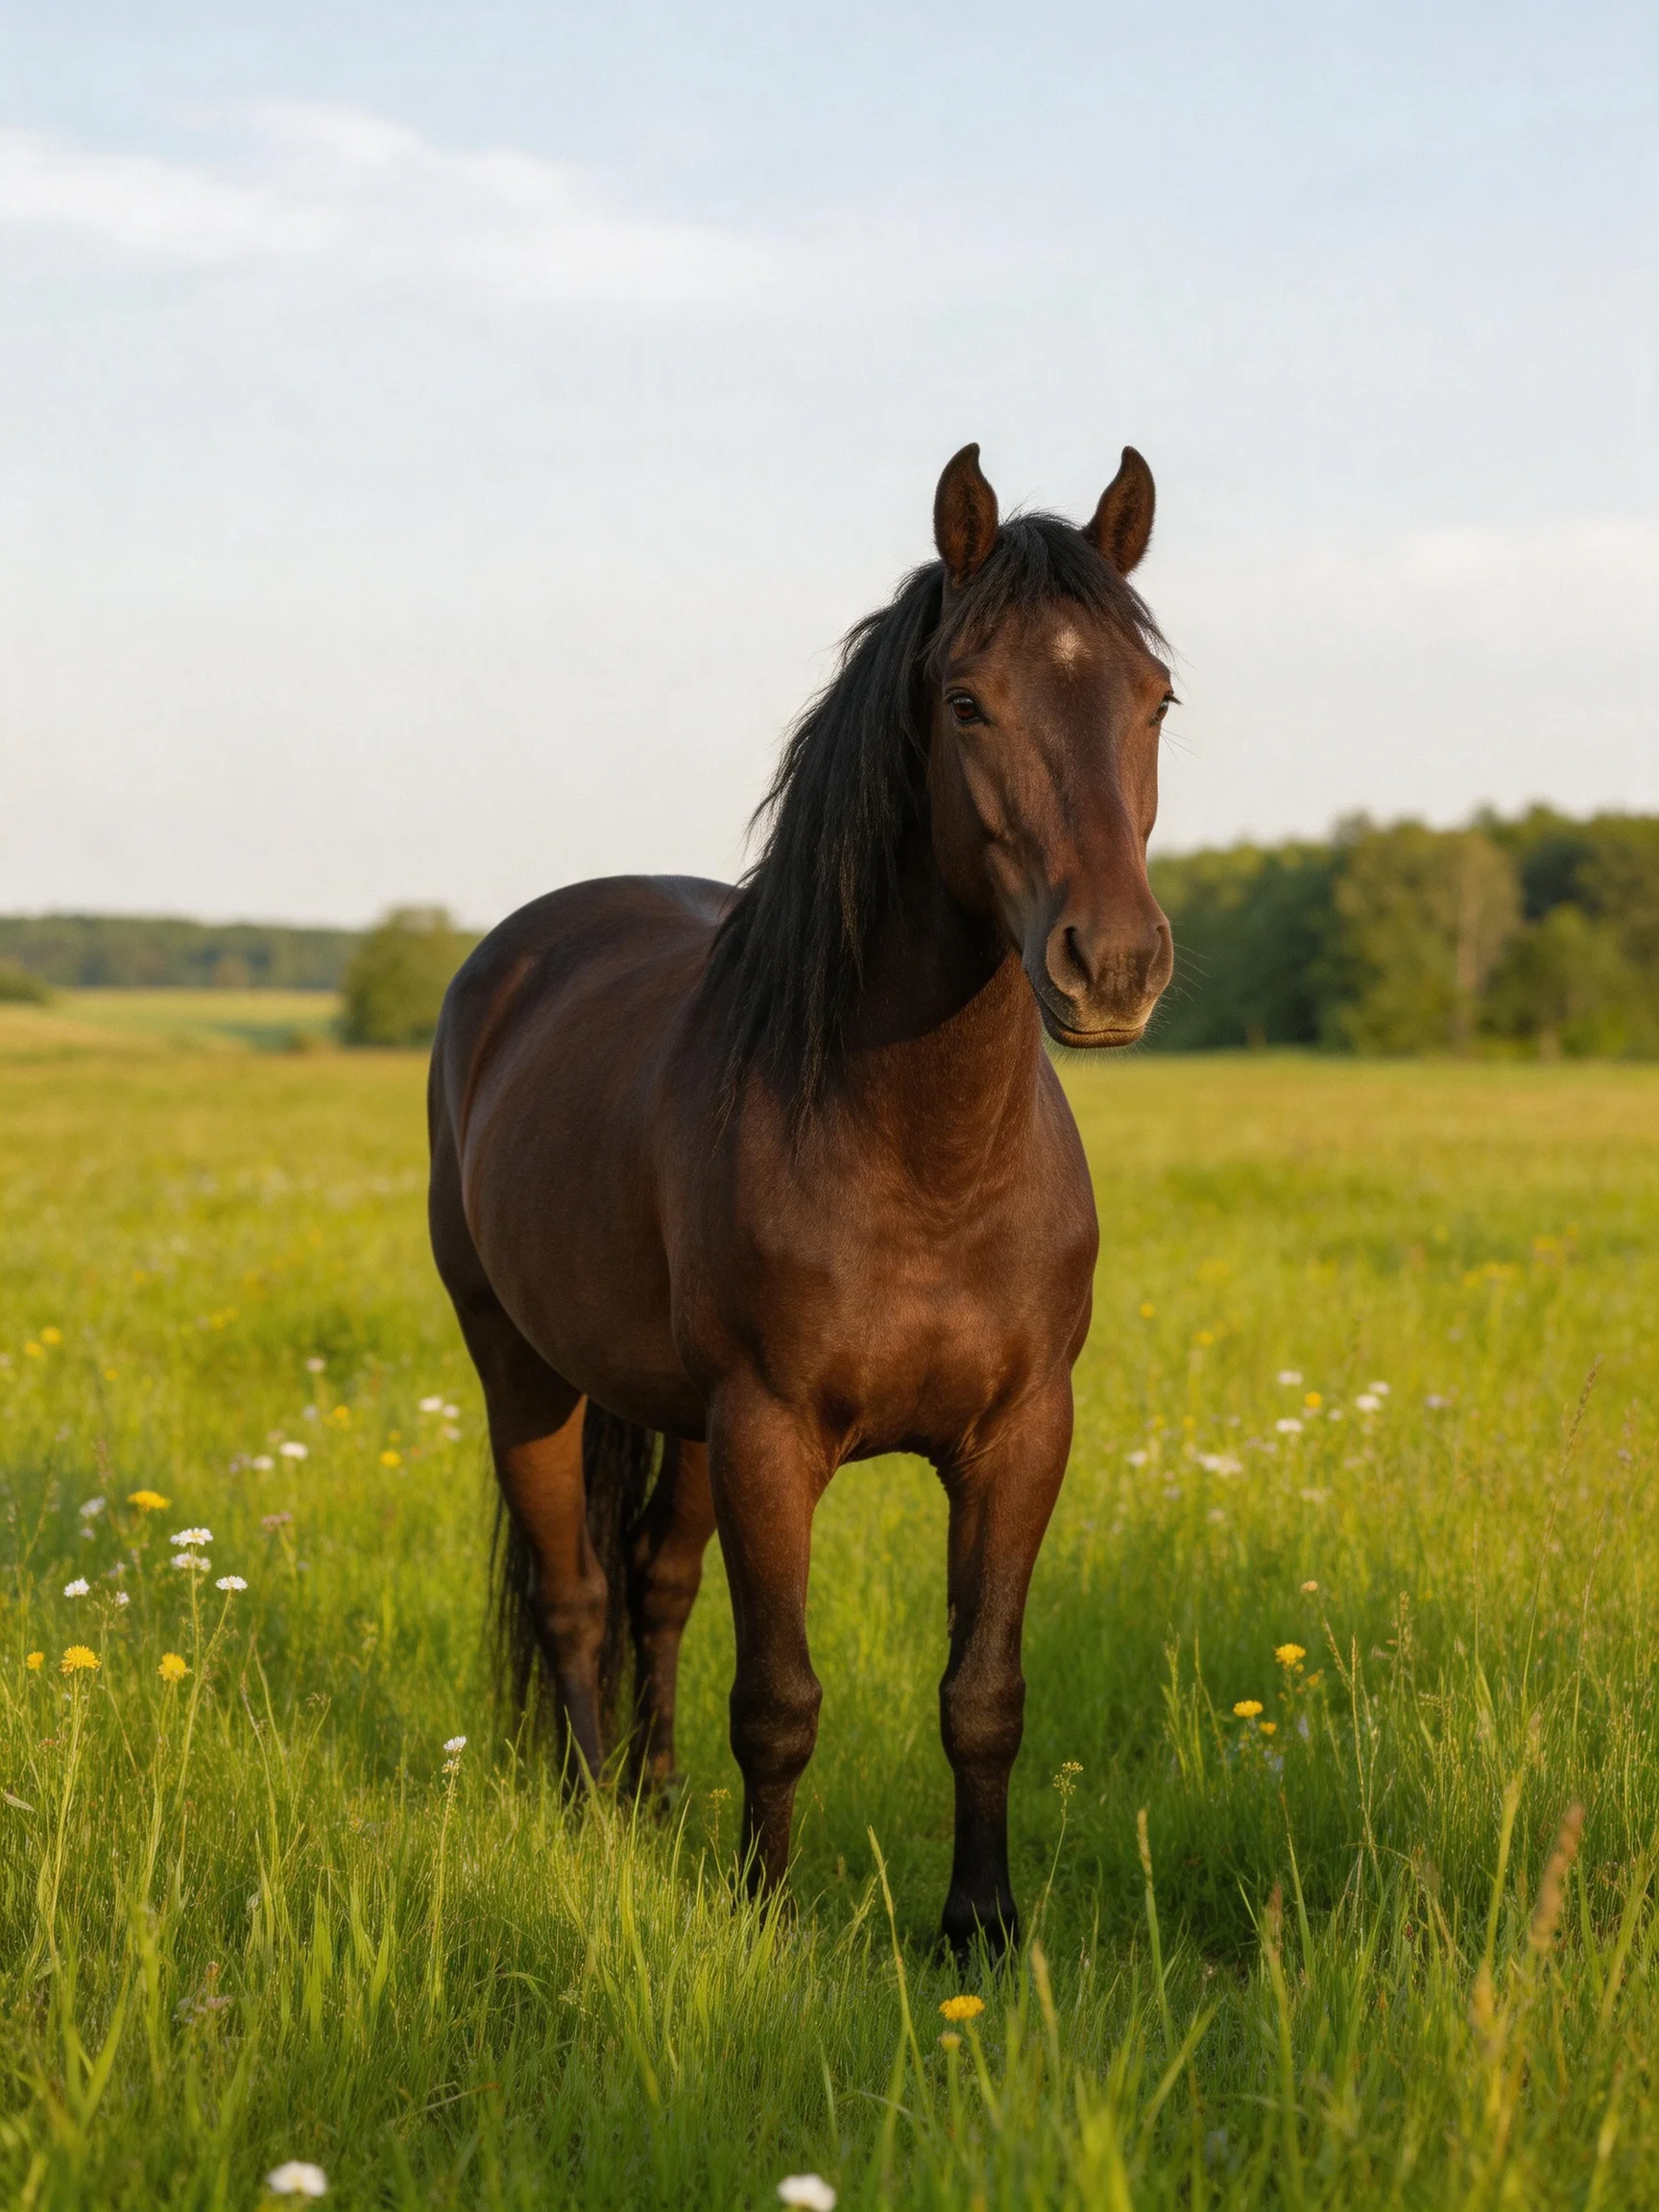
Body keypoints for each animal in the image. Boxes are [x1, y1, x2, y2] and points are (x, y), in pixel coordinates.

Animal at [428, 442, 1175, 1955]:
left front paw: (980, 1928)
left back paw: (653, 1801)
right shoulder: (770, 1437)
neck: (921, 1156)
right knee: (575, 1593)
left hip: (678, 1416)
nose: (1114, 966)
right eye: (968, 700)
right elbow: (777, 1698)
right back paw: (594, 1813)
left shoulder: (1022, 1438)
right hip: (520, 1365)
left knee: (653, 1584)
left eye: (1156, 701)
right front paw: (766, 1916)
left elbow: (983, 1694)